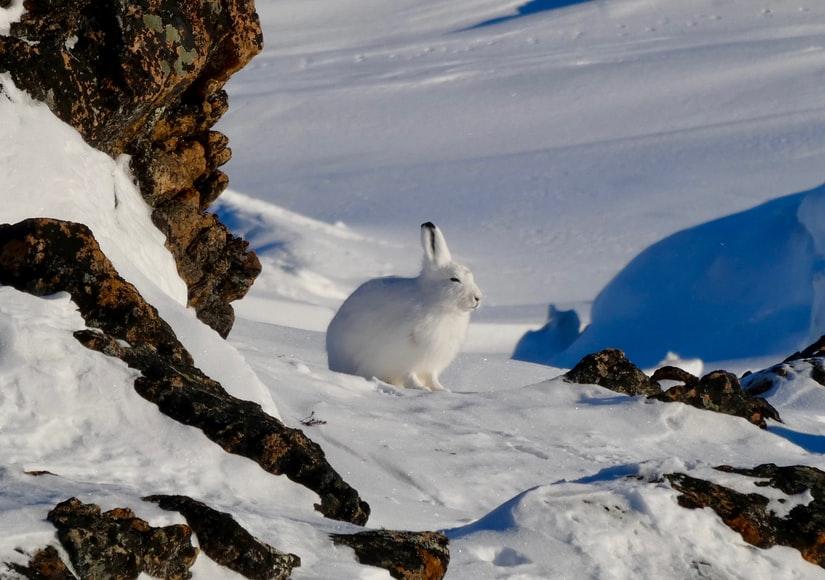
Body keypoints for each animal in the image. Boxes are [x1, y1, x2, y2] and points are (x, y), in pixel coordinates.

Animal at [326, 222, 482, 391]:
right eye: (454, 279)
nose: (477, 298)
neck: (436, 301)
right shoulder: (406, 359)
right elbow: (410, 375)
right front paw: (421, 388)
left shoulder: (432, 363)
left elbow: (432, 377)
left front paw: (441, 390)